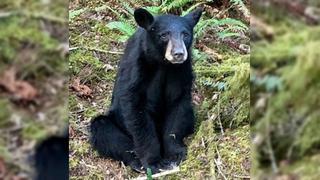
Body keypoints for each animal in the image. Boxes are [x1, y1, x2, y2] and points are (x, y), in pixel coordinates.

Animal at [89, 7, 202, 174]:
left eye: (185, 34)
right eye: (164, 35)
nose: (179, 54)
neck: (163, 63)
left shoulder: (181, 71)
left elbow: (177, 104)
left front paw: (174, 154)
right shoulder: (137, 67)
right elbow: (135, 109)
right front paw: (153, 161)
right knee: (104, 130)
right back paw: (136, 161)